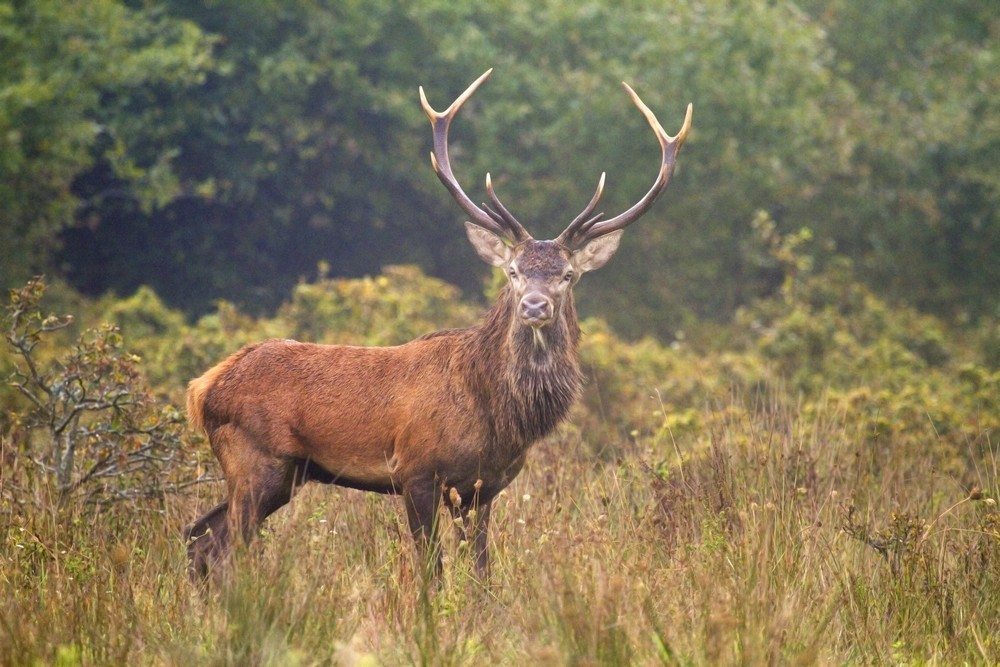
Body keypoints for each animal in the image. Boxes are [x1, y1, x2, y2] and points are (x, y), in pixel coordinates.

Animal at [184, 68, 692, 580]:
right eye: (512, 272)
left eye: (568, 275)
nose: (534, 306)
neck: (497, 412)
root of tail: (204, 389)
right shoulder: (416, 470)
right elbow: (432, 569)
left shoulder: (484, 487)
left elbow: (482, 571)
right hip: (255, 458)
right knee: (224, 542)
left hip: (286, 473)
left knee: (200, 535)